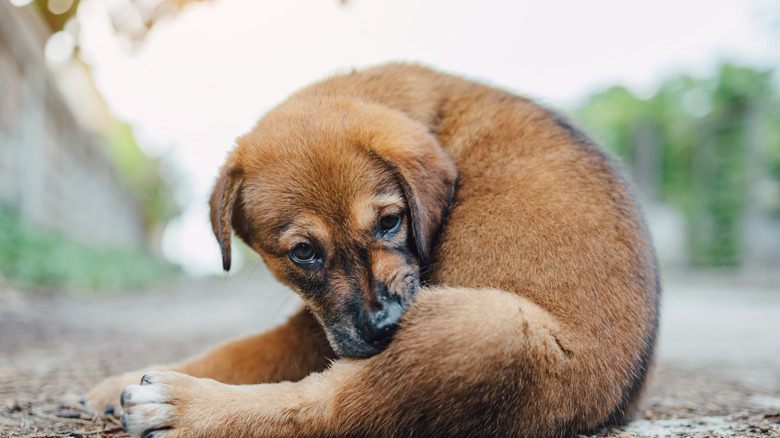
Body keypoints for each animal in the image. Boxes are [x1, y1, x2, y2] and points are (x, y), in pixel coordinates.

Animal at [84, 64, 660, 438]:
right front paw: (113, 384)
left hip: (483, 328)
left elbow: (243, 355)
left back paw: (178, 408)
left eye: (390, 222)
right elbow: (235, 350)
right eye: (302, 253)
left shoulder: (319, 331)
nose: (384, 328)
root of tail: (610, 406)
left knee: (327, 411)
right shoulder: (323, 322)